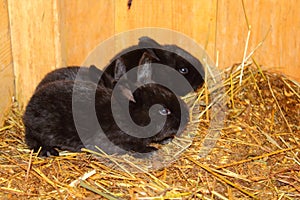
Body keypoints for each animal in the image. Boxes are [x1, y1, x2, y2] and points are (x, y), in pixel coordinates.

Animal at [23, 54, 189, 156]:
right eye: (163, 111)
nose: (186, 119)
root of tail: (28, 110)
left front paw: (166, 140)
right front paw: (151, 149)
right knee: (32, 140)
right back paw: (48, 151)